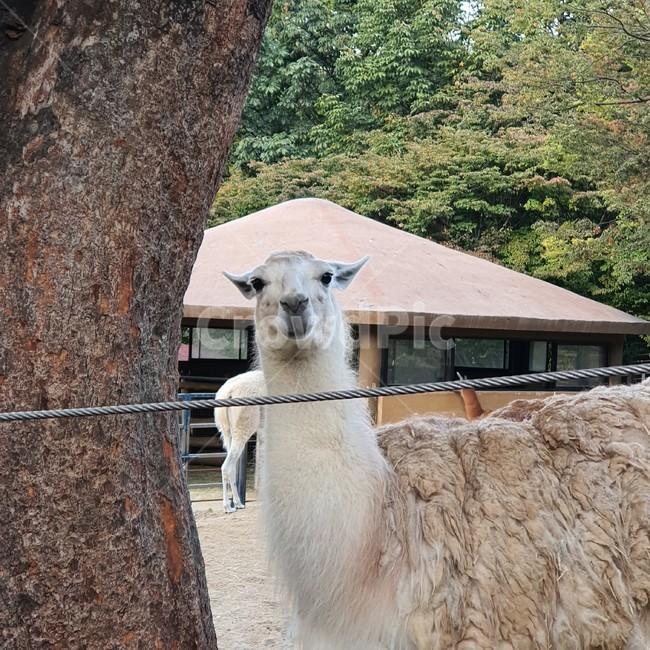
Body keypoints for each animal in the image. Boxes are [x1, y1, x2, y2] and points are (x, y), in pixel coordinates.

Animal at [213, 370, 265, 513]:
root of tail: (227, 392)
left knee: (232, 467)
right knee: (226, 466)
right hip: (242, 428)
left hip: (226, 431)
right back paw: (228, 506)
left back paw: (238, 504)